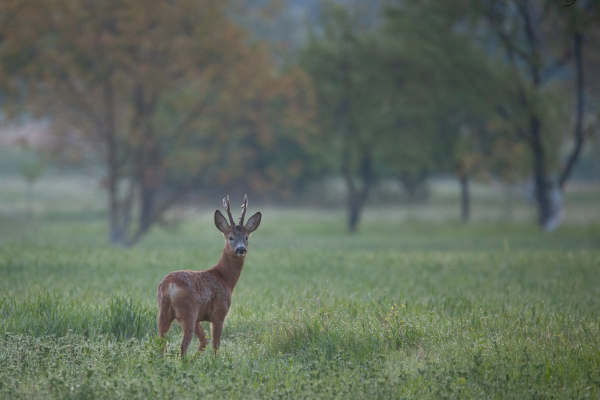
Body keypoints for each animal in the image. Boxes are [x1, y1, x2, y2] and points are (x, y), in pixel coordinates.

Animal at [155, 195, 260, 360]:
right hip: (188, 311)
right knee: (183, 345)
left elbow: (204, 341)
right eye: (230, 237)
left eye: (247, 237)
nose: (241, 249)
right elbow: (215, 346)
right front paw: (215, 362)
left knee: (161, 342)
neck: (225, 278)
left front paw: (195, 360)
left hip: (163, 311)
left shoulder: (200, 316)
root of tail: (169, 285)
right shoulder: (219, 313)